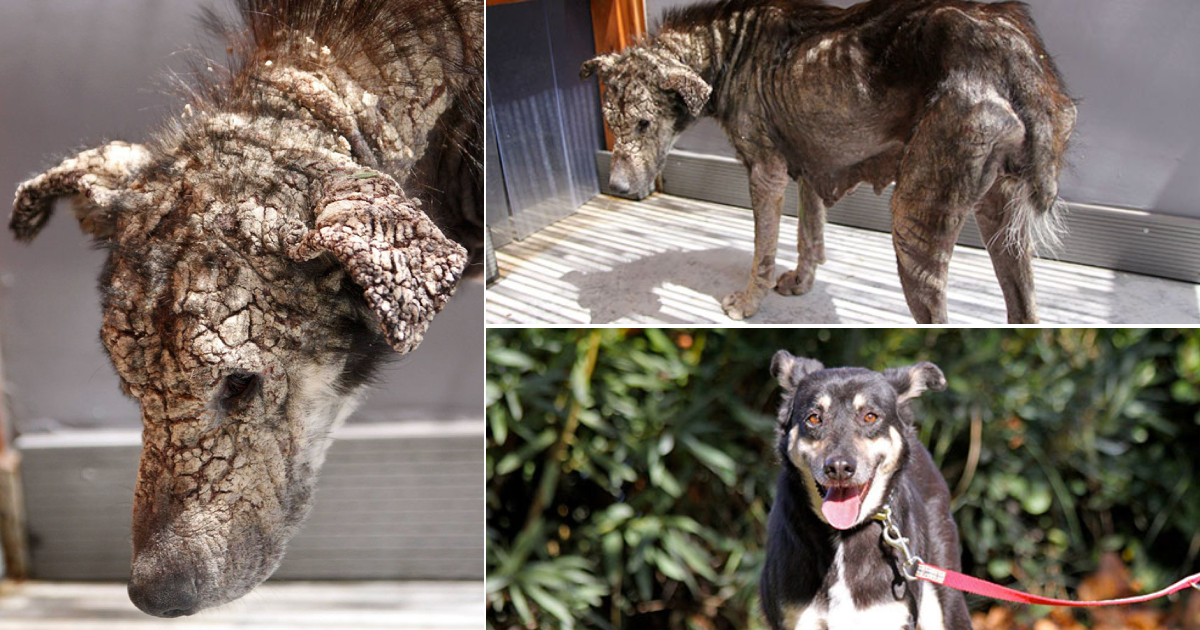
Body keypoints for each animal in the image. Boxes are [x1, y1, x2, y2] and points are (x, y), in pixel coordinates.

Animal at [583, 0, 1080, 321]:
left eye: (645, 123)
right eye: (611, 122)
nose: (618, 190)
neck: (726, 46)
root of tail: (1014, 49)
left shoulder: (765, 173)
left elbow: (763, 251)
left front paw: (749, 304)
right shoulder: (809, 166)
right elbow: (810, 234)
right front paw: (801, 284)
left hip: (915, 223)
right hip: (1002, 222)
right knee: (1024, 309)